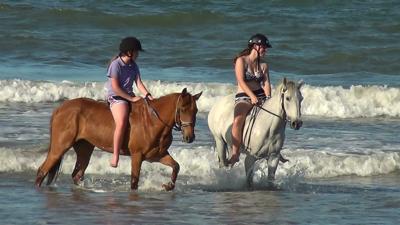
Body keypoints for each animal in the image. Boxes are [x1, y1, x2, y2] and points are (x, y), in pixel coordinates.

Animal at [34, 89, 202, 191]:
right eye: (182, 109)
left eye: (196, 110)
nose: (190, 137)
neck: (153, 121)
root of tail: (60, 109)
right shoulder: (137, 156)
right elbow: (134, 181)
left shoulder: (157, 155)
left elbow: (176, 166)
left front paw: (168, 186)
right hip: (60, 147)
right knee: (42, 170)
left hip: (84, 148)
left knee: (77, 174)